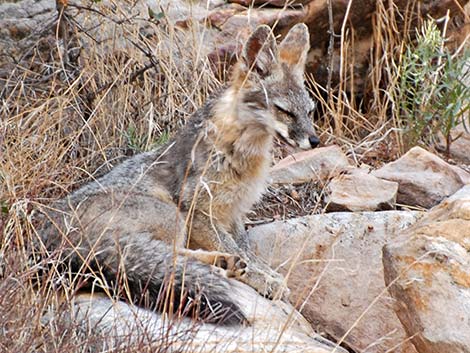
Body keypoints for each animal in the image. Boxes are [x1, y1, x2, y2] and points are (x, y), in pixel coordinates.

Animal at [34, 22, 320, 324]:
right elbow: (234, 247)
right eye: (284, 111)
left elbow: (247, 250)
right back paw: (223, 265)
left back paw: (223, 264)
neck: (240, 154)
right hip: (171, 215)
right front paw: (262, 279)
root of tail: (43, 238)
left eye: (309, 112)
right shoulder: (197, 211)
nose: (315, 141)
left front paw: (265, 272)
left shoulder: (234, 212)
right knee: (171, 257)